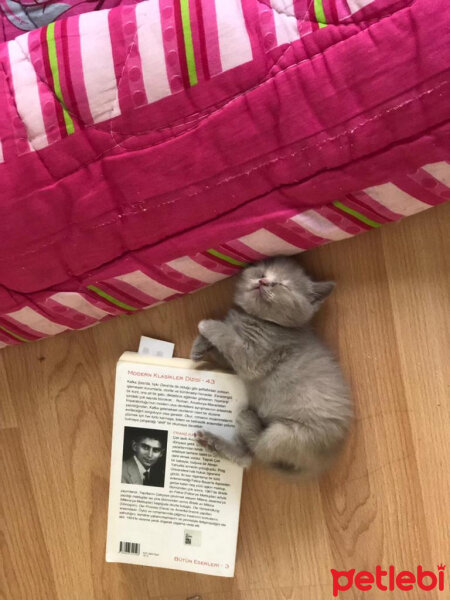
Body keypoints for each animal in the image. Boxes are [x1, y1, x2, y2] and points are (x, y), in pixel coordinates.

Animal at [190, 258, 352, 478]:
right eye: (262, 272)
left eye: (281, 284)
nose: (263, 281)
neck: (260, 320)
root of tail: (321, 463)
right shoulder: (237, 361)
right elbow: (224, 351)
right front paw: (199, 347)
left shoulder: (252, 358)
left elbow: (227, 337)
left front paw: (207, 326)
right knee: (246, 457)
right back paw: (211, 441)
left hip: (285, 433)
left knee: (259, 450)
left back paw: (247, 421)